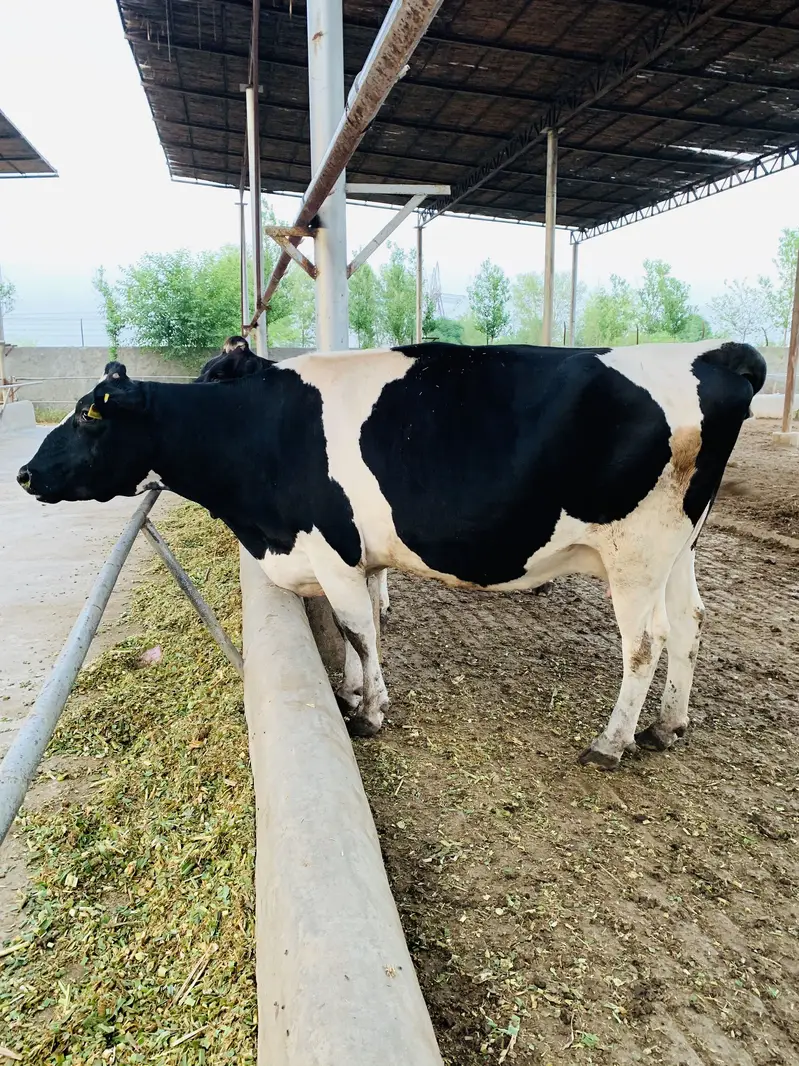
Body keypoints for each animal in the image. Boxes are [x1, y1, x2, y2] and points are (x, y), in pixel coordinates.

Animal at [17, 340, 765, 768]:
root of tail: (713, 356)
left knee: (644, 642)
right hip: (679, 551)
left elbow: (356, 628)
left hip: (635, 553)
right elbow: (365, 629)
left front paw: (369, 713)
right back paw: (668, 725)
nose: (23, 473)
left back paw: (612, 742)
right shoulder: (355, 558)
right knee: (691, 624)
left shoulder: (330, 547)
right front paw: (354, 690)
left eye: (90, 414)